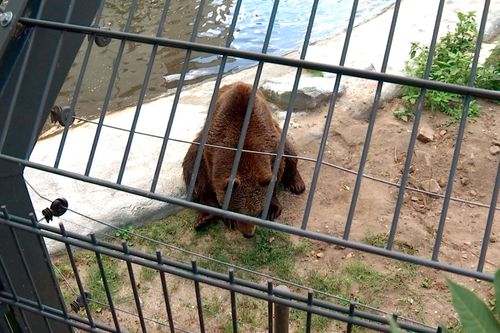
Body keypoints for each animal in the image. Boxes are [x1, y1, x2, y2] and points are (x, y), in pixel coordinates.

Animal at [181, 81, 304, 237]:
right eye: (236, 211)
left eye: (256, 212)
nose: (248, 234)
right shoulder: (211, 148)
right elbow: (204, 176)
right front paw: (229, 220)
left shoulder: (272, 144)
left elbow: (278, 171)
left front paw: (272, 209)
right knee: (191, 167)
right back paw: (205, 216)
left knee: (291, 154)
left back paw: (297, 184)